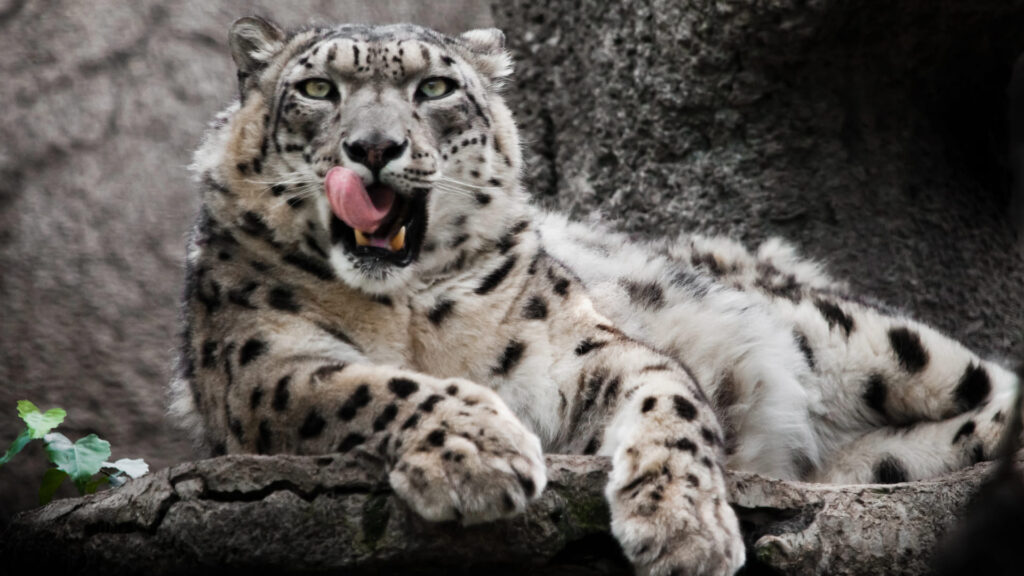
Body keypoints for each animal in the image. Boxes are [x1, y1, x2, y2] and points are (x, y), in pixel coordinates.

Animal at [169, 16, 1021, 576]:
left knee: (989, 379)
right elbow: (376, 384)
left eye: (435, 86)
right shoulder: (263, 368)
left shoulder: (582, 349)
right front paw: (479, 454)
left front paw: (684, 526)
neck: (409, 310)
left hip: (854, 336)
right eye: (317, 88)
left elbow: (671, 401)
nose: (374, 148)